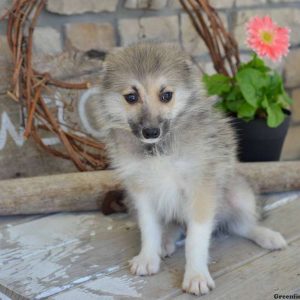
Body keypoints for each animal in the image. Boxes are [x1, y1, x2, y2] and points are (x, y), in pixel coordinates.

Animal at [91, 42, 286, 296]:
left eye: (166, 95)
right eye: (131, 97)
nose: (151, 132)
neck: (159, 149)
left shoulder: (201, 189)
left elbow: (196, 239)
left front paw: (196, 275)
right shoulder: (140, 193)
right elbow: (149, 229)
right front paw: (147, 258)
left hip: (239, 194)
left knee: (242, 225)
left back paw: (268, 236)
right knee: (173, 225)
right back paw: (165, 242)